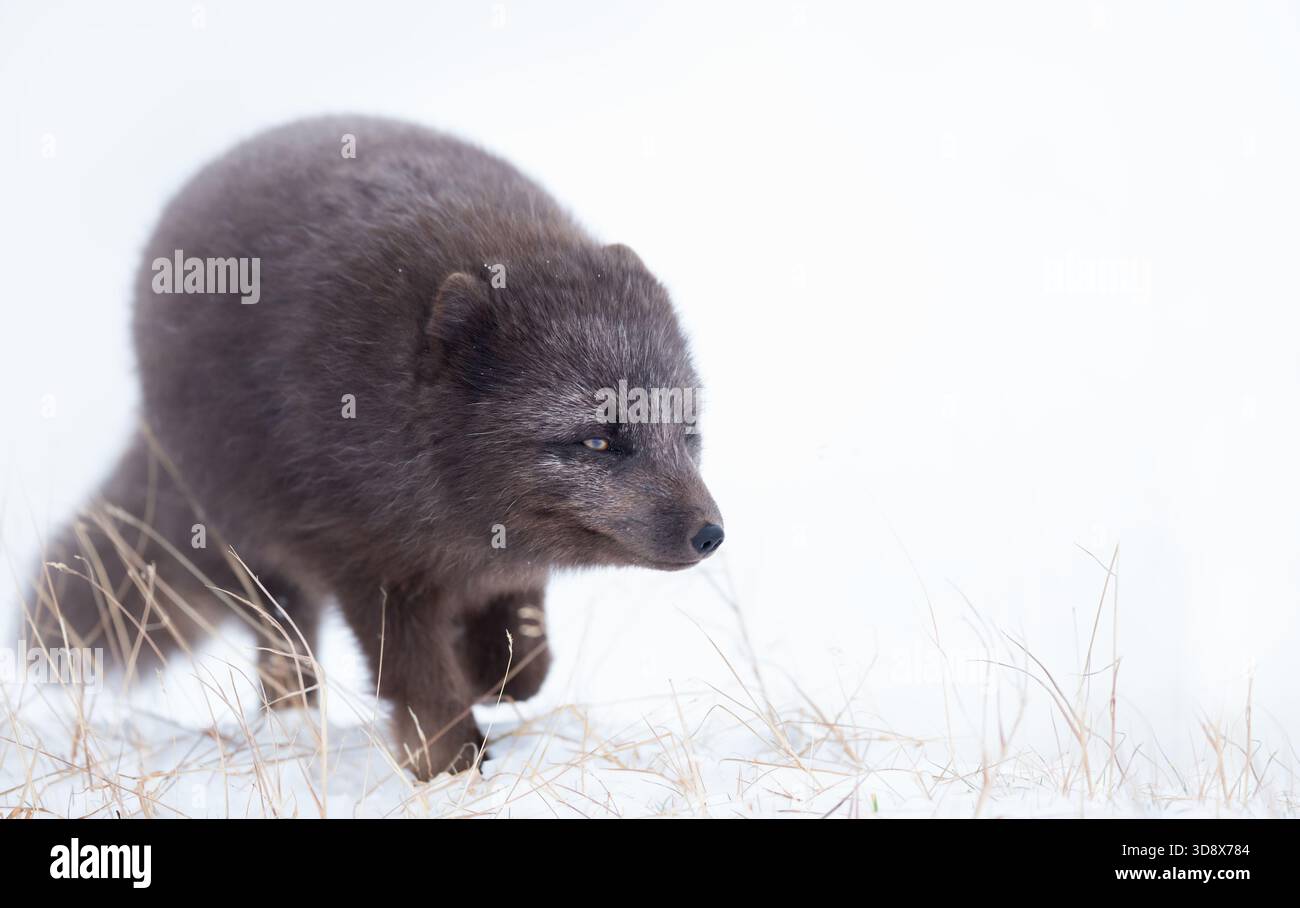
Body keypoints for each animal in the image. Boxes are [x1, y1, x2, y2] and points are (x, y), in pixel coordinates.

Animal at [28, 116, 724, 780]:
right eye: (600, 439)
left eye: (688, 432)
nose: (711, 534)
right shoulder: (372, 564)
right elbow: (421, 686)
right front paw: (450, 771)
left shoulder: (500, 563)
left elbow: (523, 660)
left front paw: (487, 679)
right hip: (253, 545)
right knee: (283, 641)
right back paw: (293, 722)